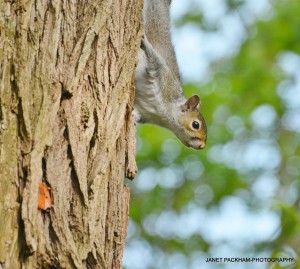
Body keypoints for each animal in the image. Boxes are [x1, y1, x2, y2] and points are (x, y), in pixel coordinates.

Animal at [135, 0, 207, 149]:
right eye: (195, 124)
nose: (202, 146)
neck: (164, 115)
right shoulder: (163, 80)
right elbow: (154, 59)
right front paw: (144, 41)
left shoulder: (145, 114)